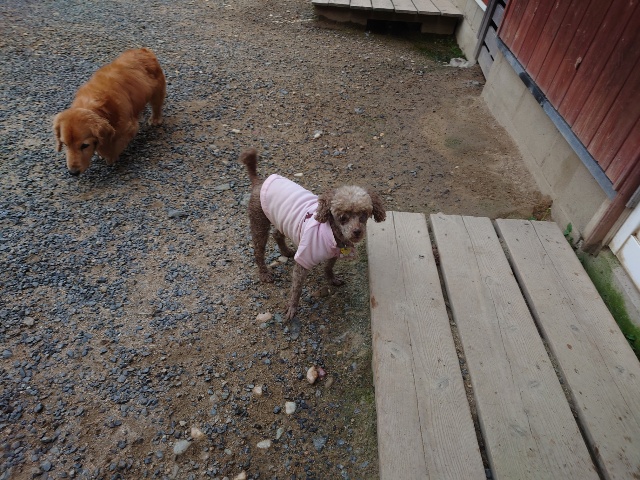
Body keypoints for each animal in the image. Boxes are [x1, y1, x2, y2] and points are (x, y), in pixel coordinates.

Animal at [240, 148, 386, 320]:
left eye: (363, 215)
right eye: (343, 217)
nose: (357, 232)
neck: (333, 232)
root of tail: (259, 182)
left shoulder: (334, 253)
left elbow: (328, 267)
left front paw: (332, 279)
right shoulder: (304, 260)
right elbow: (296, 288)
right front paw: (292, 307)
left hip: (280, 220)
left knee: (277, 234)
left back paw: (286, 251)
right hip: (259, 222)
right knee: (258, 250)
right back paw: (264, 273)